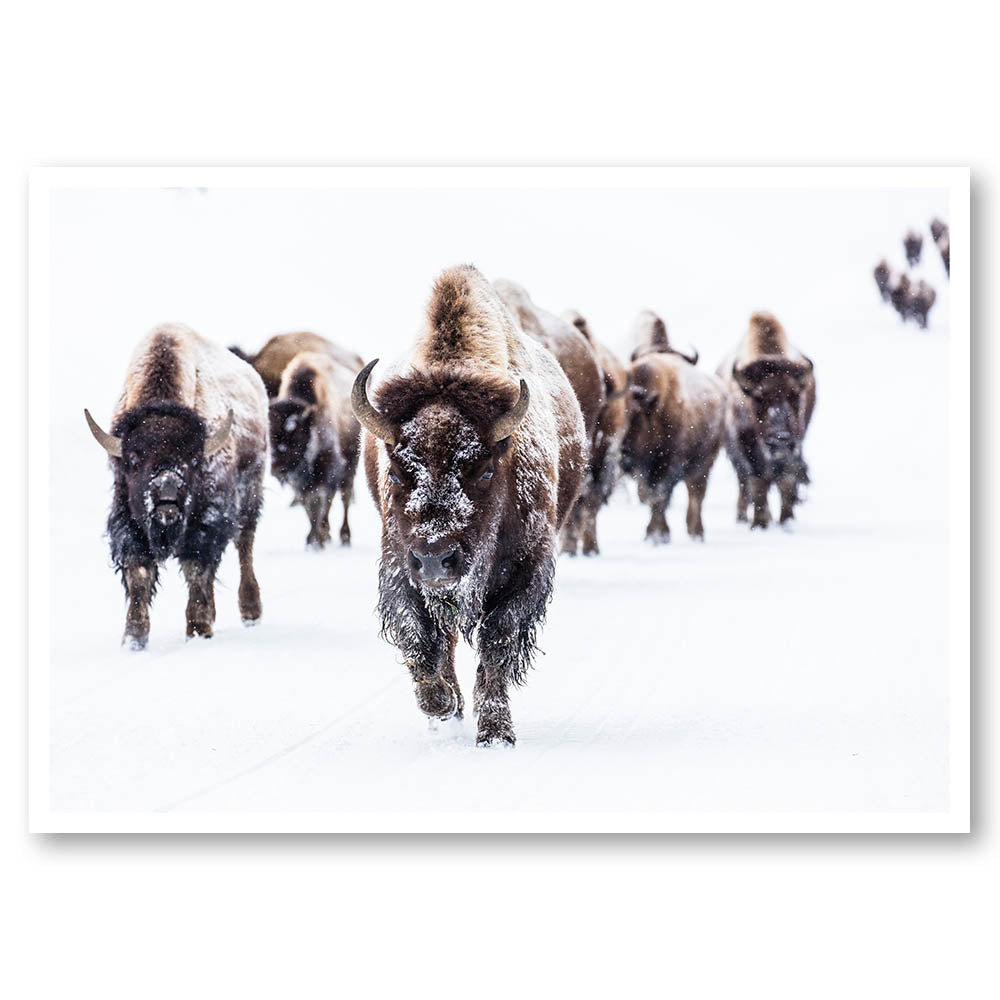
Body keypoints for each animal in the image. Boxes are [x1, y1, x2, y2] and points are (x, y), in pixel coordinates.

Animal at [85, 323, 269, 647]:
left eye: (194, 460)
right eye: (133, 460)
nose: (167, 496)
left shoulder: (206, 523)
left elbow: (197, 570)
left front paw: (198, 629)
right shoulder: (128, 521)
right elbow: (139, 573)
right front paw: (134, 638)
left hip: (250, 493)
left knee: (244, 545)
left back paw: (250, 612)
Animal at [269, 349, 362, 548]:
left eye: (295, 436)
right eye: (269, 436)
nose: (277, 469)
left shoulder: (326, 466)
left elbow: (316, 501)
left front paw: (314, 541)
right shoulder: (300, 479)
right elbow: (308, 503)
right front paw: (315, 538)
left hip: (351, 463)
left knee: (345, 496)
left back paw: (345, 536)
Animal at [353, 265, 587, 746]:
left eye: (483, 470)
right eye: (396, 472)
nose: (436, 560)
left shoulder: (526, 572)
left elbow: (497, 644)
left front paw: (496, 733)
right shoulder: (400, 568)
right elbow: (418, 638)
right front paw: (442, 706)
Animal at [718, 312, 816, 529]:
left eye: (795, 395)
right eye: (758, 397)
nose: (780, 438)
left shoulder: (794, 447)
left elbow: (786, 482)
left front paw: (787, 521)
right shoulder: (747, 451)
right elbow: (758, 484)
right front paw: (759, 523)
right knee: (745, 484)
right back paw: (743, 518)